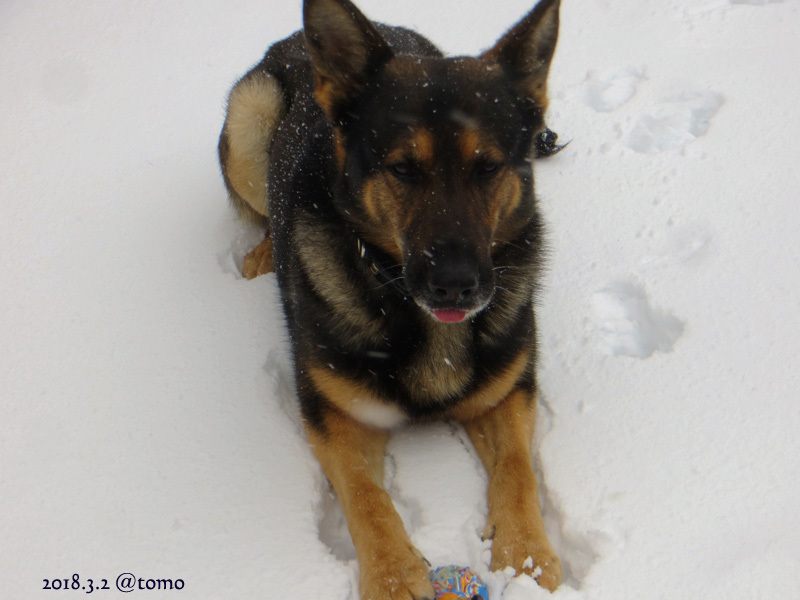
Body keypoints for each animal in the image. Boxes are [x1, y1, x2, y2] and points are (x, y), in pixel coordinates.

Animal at [219, 0, 564, 596]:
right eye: (403, 168)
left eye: (488, 167)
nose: (456, 284)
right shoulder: (334, 415)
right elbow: (366, 496)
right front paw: (393, 573)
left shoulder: (509, 392)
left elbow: (519, 470)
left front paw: (526, 556)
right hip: (250, 114)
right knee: (259, 207)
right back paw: (263, 254)